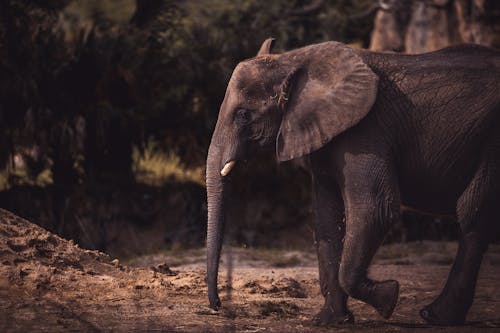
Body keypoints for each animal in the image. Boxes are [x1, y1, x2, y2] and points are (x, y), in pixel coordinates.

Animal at [204, 37, 500, 324]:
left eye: (243, 115)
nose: (218, 305)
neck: (293, 58)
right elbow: (327, 218)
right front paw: (329, 321)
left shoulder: (366, 131)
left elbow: (375, 209)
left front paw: (389, 297)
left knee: (472, 214)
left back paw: (435, 316)